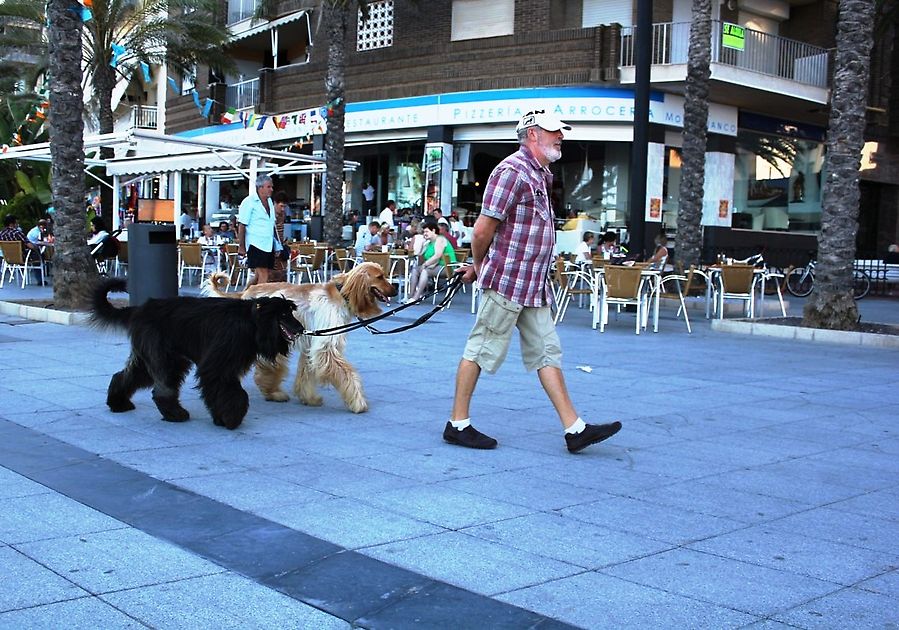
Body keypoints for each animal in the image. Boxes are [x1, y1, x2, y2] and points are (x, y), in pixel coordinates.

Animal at [91, 280, 302, 430]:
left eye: (291, 312)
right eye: (284, 315)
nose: (301, 328)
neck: (251, 320)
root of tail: (139, 310)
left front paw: (222, 417)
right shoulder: (218, 364)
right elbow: (232, 391)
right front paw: (232, 417)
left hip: (155, 356)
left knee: (126, 376)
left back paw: (118, 403)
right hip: (165, 356)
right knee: (162, 390)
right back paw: (175, 414)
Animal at [209, 262, 400, 414]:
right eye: (380, 277)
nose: (396, 289)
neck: (341, 294)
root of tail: (245, 293)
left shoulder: (313, 342)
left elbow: (306, 373)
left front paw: (309, 398)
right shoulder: (325, 346)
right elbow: (347, 374)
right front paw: (358, 402)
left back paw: (272, 392)